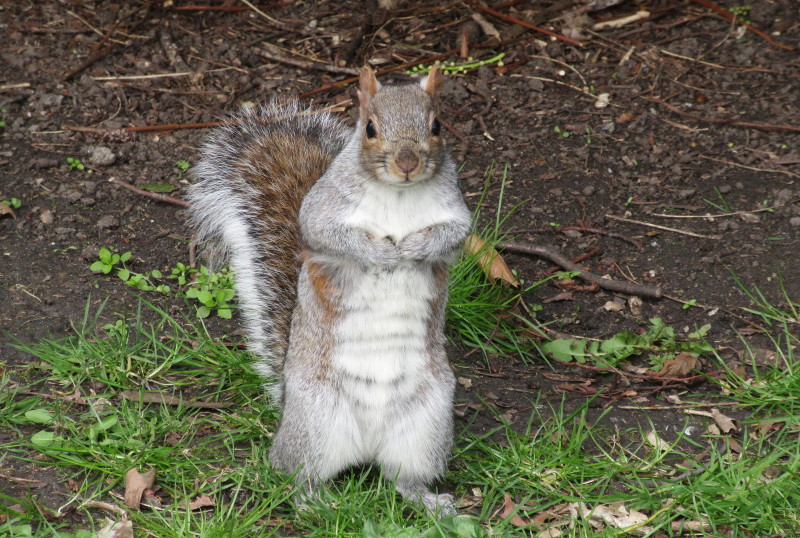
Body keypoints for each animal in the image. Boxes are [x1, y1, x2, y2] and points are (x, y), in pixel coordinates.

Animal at [188, 65, 472, 512]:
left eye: (437, 125)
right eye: (370, 128)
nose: (407, 162)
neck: (400, 194)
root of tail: (368, 445)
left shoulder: (456, 212)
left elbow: (454, 233)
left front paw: (415, 248)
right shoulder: (323, 209)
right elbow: (327, 232)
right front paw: (382, 252)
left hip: (427, 423)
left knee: (401, 477)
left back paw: (428, 501)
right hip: (316, 422)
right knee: (295, 474)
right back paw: (313, 501)